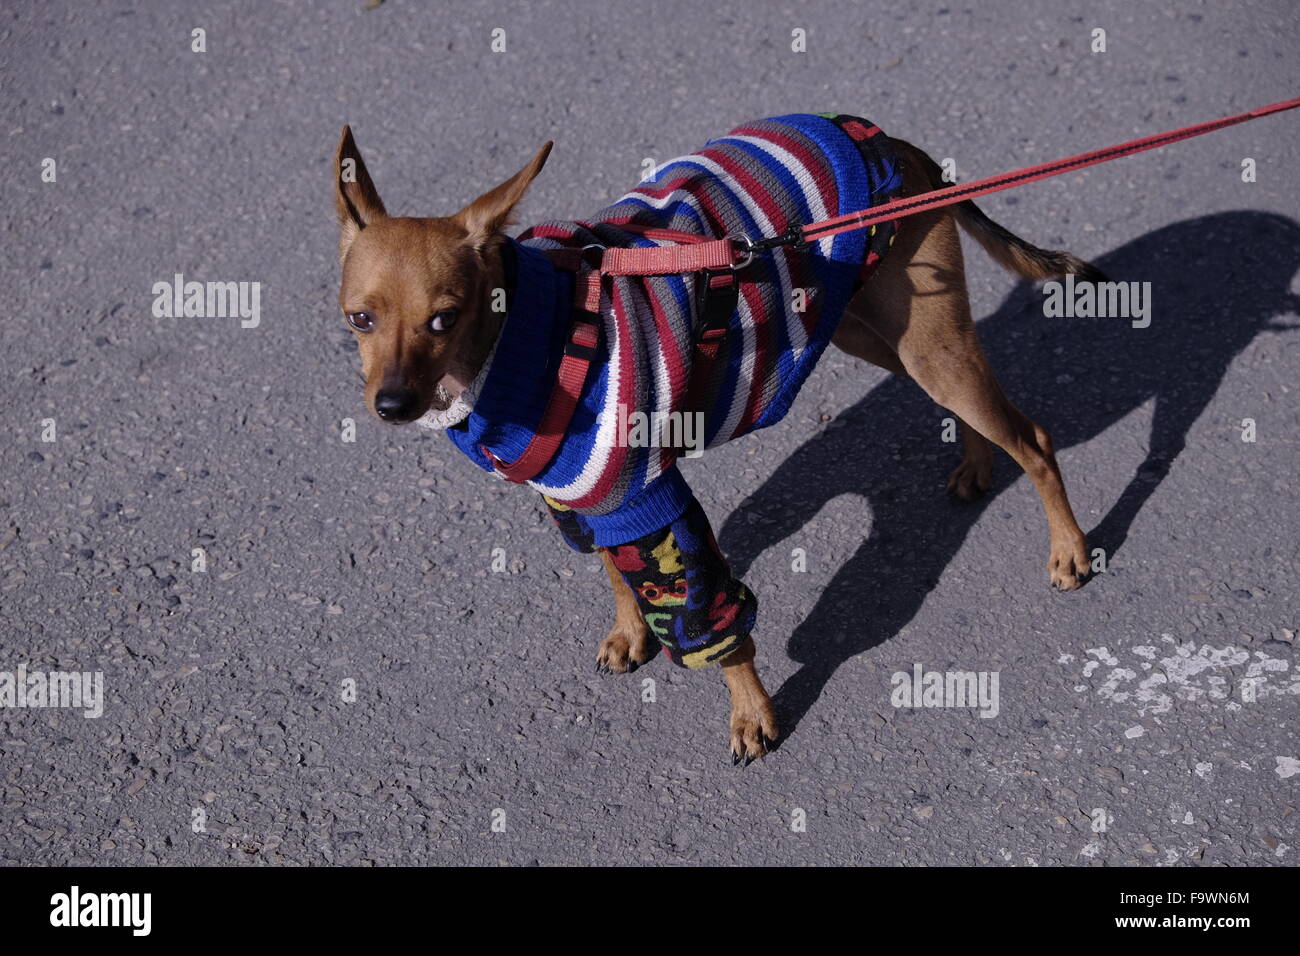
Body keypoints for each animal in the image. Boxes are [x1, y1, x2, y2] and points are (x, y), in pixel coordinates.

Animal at [332, 121, 1097, 764]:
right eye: (359, 320)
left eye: (445, 318)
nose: (392, 405)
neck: (523, 334)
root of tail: (896, 145)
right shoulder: (586, 500)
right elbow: (617, 574)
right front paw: (632, 634)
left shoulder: (651, 506)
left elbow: (710, 624)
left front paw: (751, 714)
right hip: (882, 333)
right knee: (970, 409)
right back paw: (976, 465)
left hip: (926, 344)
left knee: (1033, 439)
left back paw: (1069, 549)